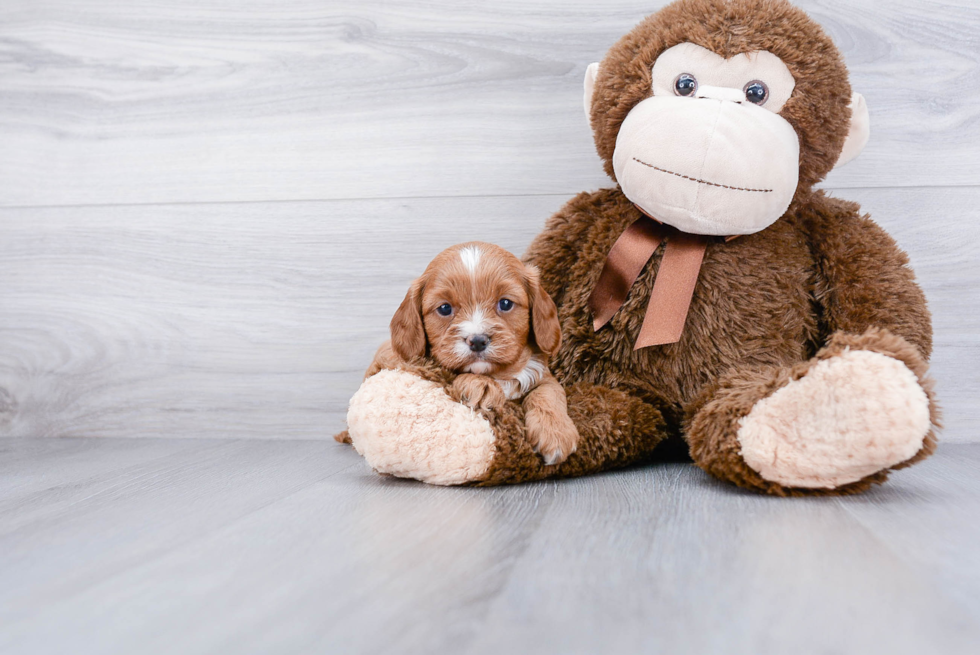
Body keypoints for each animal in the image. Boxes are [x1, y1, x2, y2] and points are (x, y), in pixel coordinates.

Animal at [340, 242, 580, 466]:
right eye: (445, 308)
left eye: (505, 303)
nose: (478, 341)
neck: (497, 375)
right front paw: (480, 386)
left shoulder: (543, 375)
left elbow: (549, 392)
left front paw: (556, 433)